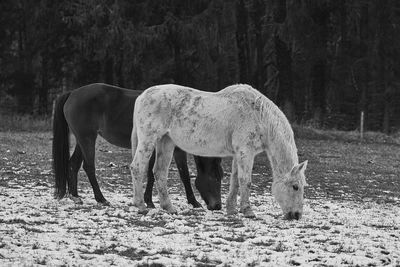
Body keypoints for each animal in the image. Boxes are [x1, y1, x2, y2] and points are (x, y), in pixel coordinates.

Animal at [50, 82, 222, 210]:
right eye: (215, 177)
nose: (218, 206)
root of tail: (72, 93)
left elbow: (153, 172)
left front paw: (149, 200)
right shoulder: (174, 150)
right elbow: (182, 174)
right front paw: (193, 201)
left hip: (83, 140)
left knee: (73, 164)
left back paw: (75, 197)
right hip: (87, 139)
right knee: (88, 167)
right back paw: (101, 199)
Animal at [130, 84, 308, 220]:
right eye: (295, 187)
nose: (297, 215)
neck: (259, 115)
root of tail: (142, 96)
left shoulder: (238, 154)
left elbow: (235, 181)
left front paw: (232, 209)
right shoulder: (246, 151)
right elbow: (246, 181)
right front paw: (248, 211)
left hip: (166, 142)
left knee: (159, 172)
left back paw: (169, 207)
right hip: (148, 140)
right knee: (137, 167)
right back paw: (141, 206)